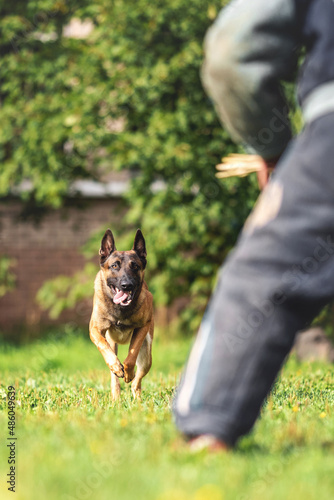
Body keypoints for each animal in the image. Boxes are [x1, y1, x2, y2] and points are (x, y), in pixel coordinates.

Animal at [90, 229, 155, 398]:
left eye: (135, 266)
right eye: (114, 266)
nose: (127, 285)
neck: (120, 310)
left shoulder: (142, 327)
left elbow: (131, 355)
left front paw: (128, 372)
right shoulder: (95, 329)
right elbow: (102, 345)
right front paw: (116, 366)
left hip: (147, 356)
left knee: (137, 381)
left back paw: (136, 397)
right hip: (113, 344)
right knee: (114, 378)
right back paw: (116, 397)